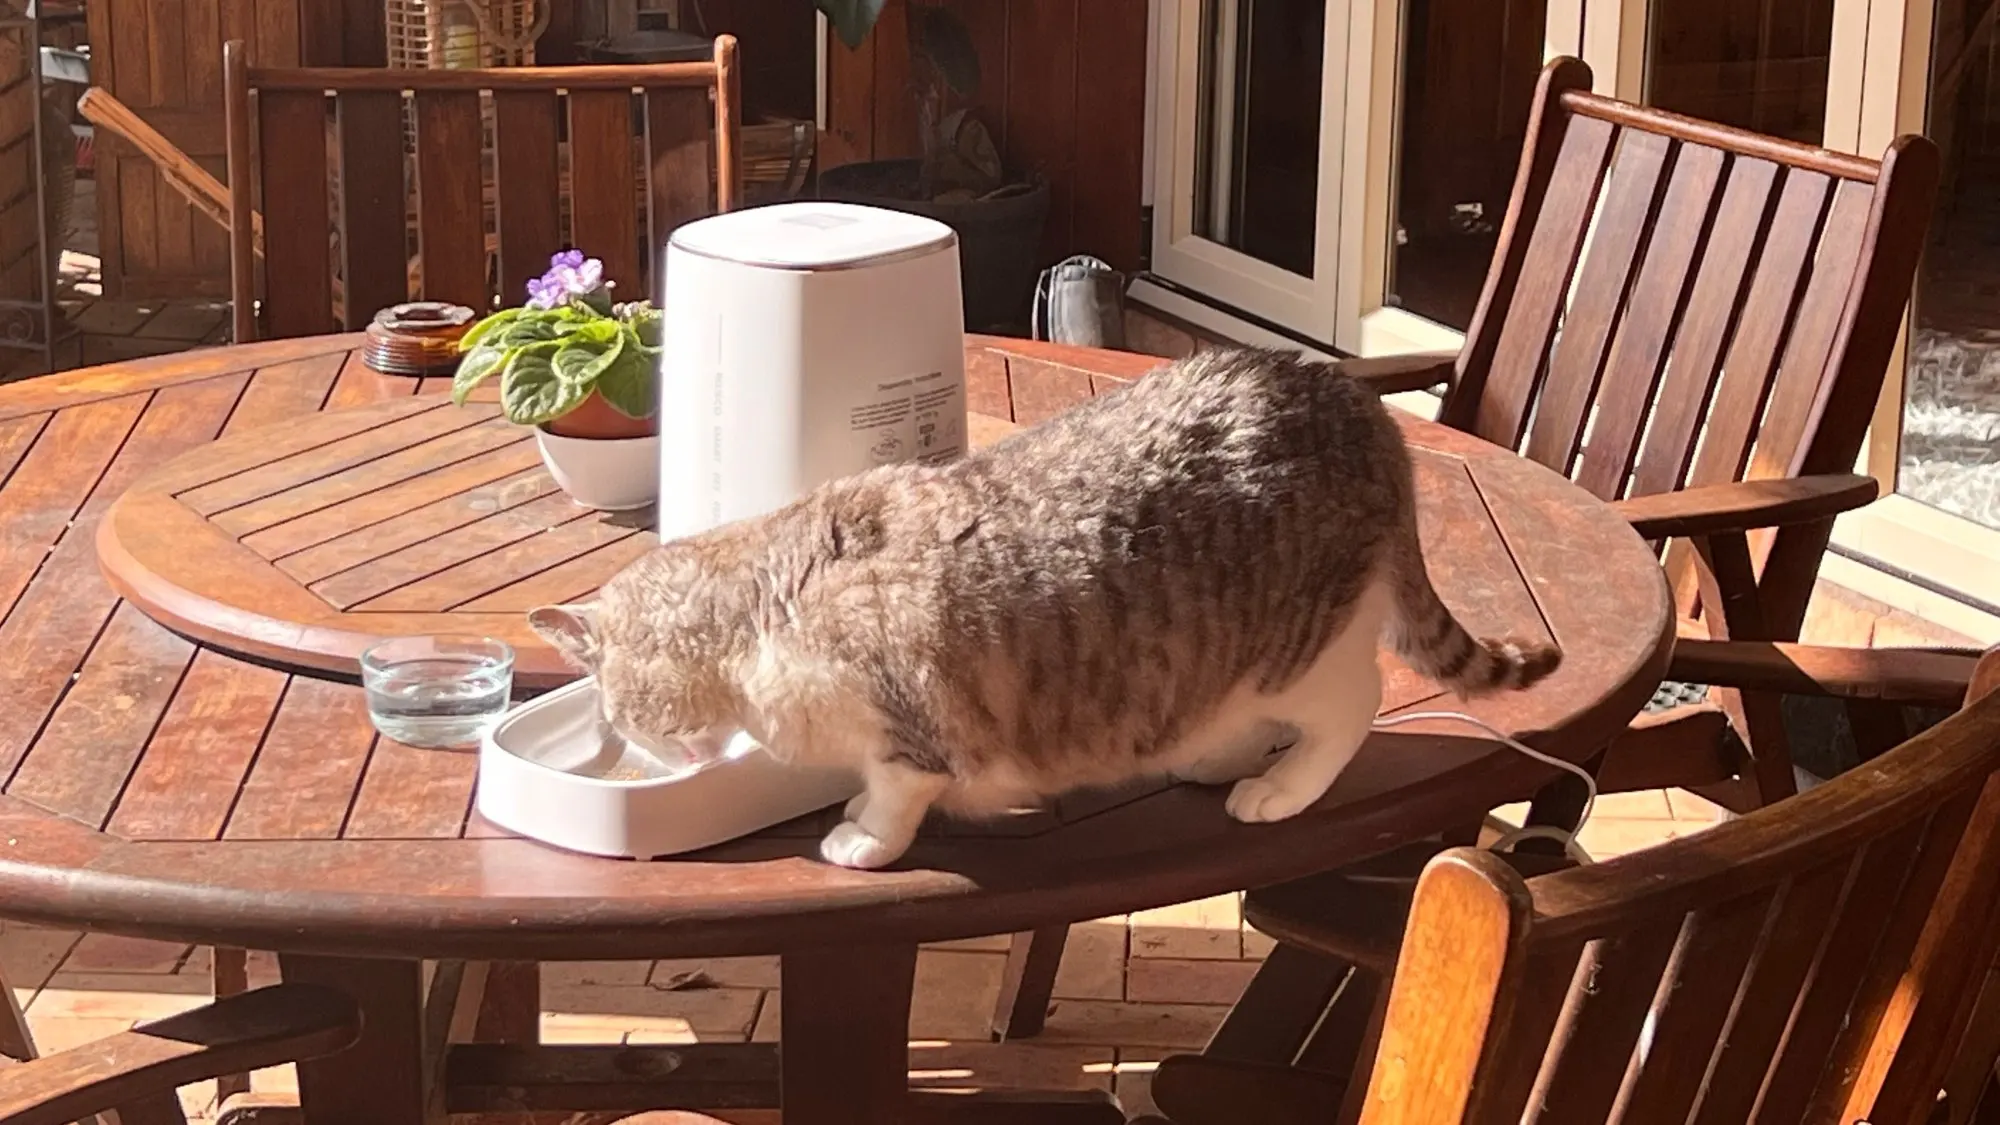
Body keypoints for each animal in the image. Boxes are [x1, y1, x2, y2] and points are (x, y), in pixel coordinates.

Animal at [530, 347, 1560, 870]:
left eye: (620, 718)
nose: (655, 756)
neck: (768, 602)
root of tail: (1360, 403)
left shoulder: (909, 724)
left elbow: (896, 793)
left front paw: (862, 835)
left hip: (1294, 644)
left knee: (1351, 702)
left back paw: (1279, 786)